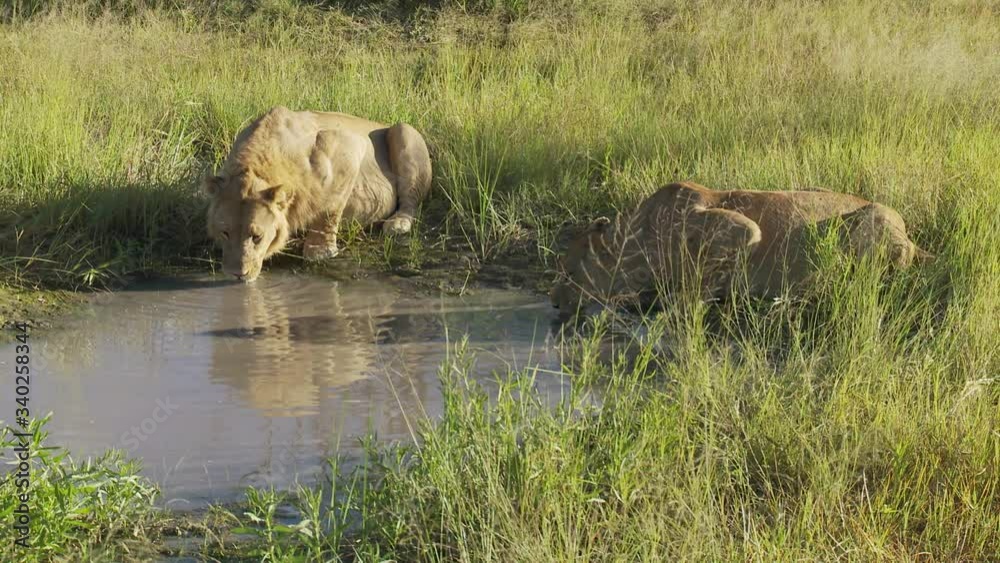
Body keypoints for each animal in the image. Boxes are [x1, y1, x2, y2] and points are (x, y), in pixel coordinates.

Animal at [204, 106, 432, 282]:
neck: (258, 166)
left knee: (411, 202)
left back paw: (397, 224)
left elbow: (329, 209)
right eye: (225, 233)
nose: (237, 275)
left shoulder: (350, 145)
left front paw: (320, 251)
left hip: (404, 130)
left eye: (257, 237)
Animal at [550, 181, 930, 316]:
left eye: (569, 271)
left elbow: (694, 288)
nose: (552, 302)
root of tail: (911, 236)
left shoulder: (743, 229)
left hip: (874, 220)